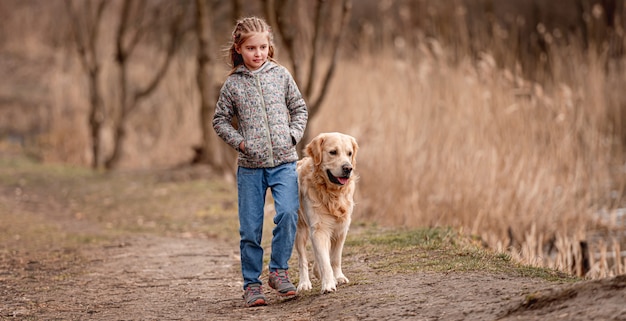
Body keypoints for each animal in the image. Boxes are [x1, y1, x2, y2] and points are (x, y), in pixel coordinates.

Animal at [292, 131, 356, 292]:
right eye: (333, 152)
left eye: (349, 153)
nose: (348, 168)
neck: (332, 194)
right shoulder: (319, 229)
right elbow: (324, 261)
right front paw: (328, 283)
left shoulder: (341, 228)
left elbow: (334, 258)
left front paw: (338, 277)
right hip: (300, 229)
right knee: (302, 259)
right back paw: (304, 283)